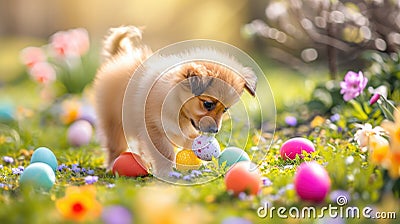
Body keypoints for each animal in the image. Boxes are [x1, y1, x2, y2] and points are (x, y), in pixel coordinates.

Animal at [94, 26, 256, 178]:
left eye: (225, 110)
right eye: (208, 104)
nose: (215, 131)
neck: (179, 108)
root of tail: (119, 56)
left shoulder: (186, 133)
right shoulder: (153, 129)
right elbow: (166, 152)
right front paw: (166, 172)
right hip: (114, 123)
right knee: (115, 146)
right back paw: (112, 165)